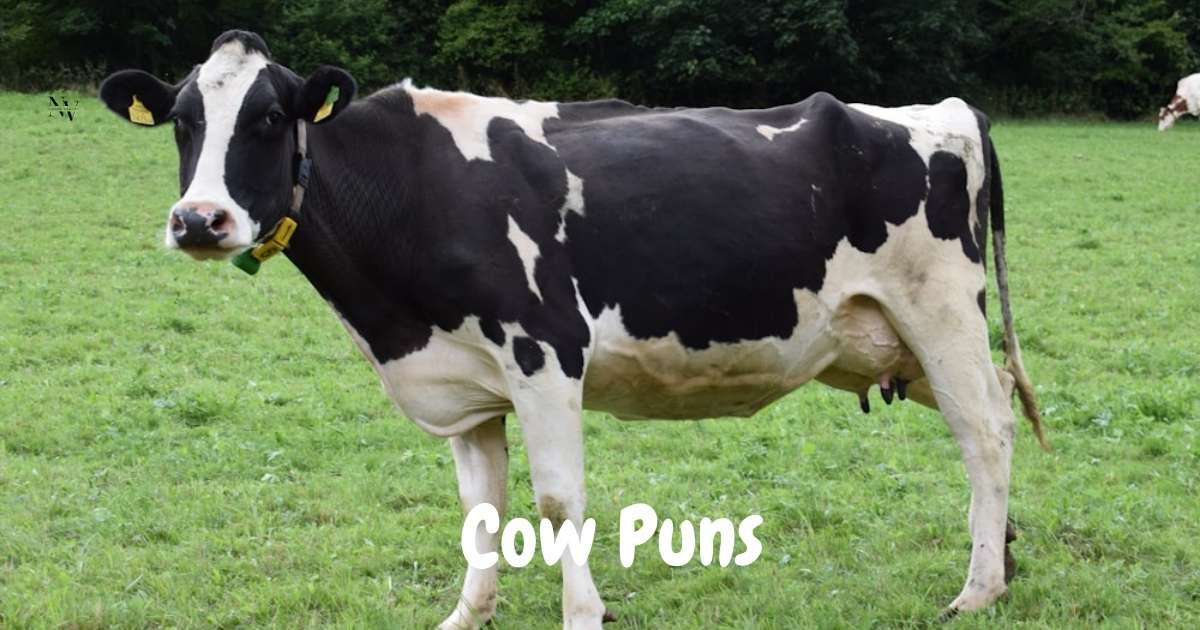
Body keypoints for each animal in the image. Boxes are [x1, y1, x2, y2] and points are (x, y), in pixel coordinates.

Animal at [99, 30, 1048, 628]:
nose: (199, 220)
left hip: (940, 315)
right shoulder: (467, 383)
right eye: (183, 122)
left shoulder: (544, 351)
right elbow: (481, 511)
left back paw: (975, 591)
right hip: (895, 344)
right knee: (996, 413)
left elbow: (558, 501)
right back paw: (1002, 561)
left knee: (987, 431)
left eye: (267, 119)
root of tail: (945, 110)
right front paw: (466, 615)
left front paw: (583, 613)